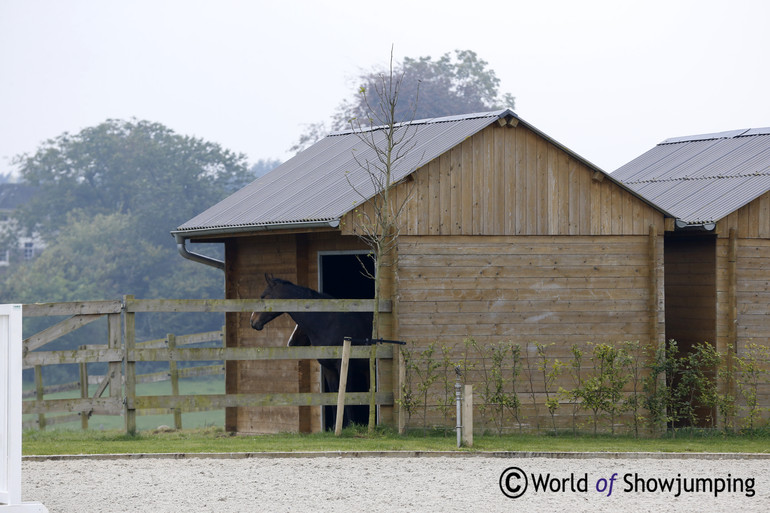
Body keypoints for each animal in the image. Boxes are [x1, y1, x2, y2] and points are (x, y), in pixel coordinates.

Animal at [249, 272, 372, 428]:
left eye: (263, 296)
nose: (253, 321)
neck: (330, 322)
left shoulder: (346, 366)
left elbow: (347, 395)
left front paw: (350, 426)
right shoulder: (328, 369)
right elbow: (333, 396)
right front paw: (336, 427)